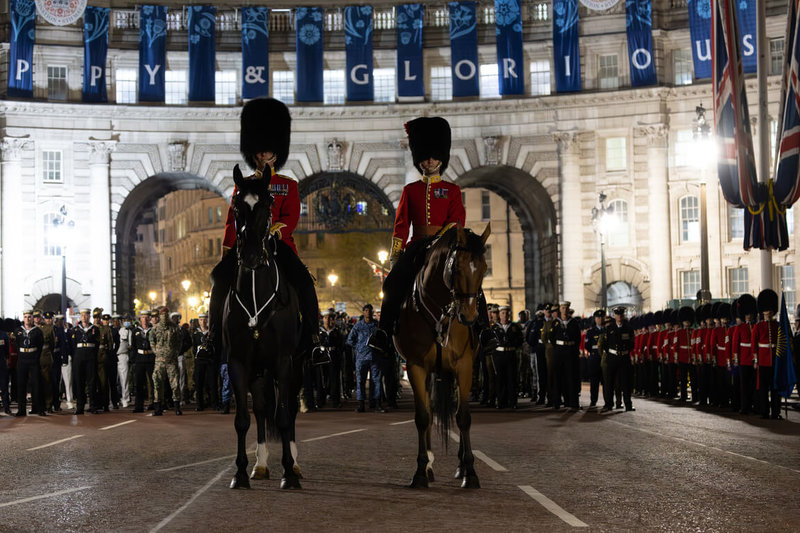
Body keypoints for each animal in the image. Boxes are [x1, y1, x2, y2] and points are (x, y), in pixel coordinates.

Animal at [225, 166, 306, 490]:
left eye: (268, 204)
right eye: (236, 206)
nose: (249, 256)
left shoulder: (284, 361)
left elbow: (283, 416)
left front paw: (289, 472)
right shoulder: (239, 362)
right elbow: (242, 420)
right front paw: (240, 472)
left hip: (295, 365)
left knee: (290, 409)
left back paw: (294, 464)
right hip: (259, 370)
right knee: (260, 409)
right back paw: (259, 465)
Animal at [392, 222, 488, 488]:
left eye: (484, 269)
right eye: (456, 267)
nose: (469, 317)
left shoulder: (464, 366)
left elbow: (463, 416)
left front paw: (470, 472)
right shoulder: (415, 366)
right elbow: (424, 417)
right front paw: (420, 470)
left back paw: (460, 466)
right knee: (429, 410)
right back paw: (429, 467)